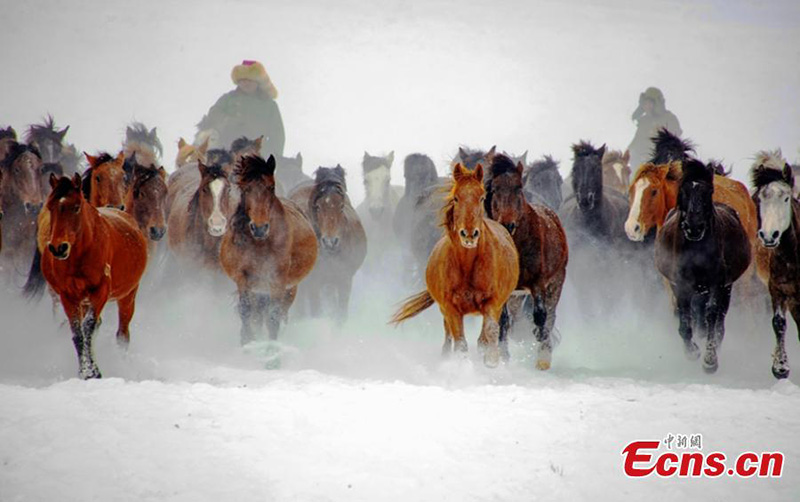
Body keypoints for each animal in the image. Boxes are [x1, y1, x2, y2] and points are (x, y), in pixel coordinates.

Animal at [23, 173, 148, 379]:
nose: (59, 248)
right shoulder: (68, 296)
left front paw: (91, 372)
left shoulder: (100, 291)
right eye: (50, 207)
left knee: (122, 335)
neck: (79, 257)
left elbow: (88, 326)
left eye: (76, 207)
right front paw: (86, 371)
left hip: (128, 295)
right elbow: (77, 332)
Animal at [220, 155, 317, 343]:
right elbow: (246, 311)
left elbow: (273, 317)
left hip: (288, 288)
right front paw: (247, 341)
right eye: (246, 189)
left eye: (271, 187)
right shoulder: (244, 279)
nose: (259, 228)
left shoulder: (278, 280)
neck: (260, 245)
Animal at [289, 165, 367, 322]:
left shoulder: (344, 281)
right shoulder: (314, 284)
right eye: (318, 207)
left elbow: (340, 315)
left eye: (341, 206)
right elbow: (316, 312)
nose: (330, 242)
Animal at [391, 163, 519, 367]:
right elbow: (459, 342)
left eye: (482, 197)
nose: (469, 234)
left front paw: (491, 362)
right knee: (448, 334)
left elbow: (490, 333)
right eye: (456, 198)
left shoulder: (493, 302)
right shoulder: (451, 308)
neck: (468, 266)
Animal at [485, 154, 568, 369]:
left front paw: (542, 355)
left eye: (518, 188)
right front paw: (503, 357)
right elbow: (503, 321)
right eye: (494, 189)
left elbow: (541, 316)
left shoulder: (538, 283)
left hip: (556, 283)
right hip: (516, 295)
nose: (508, 224)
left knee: (550, 315)